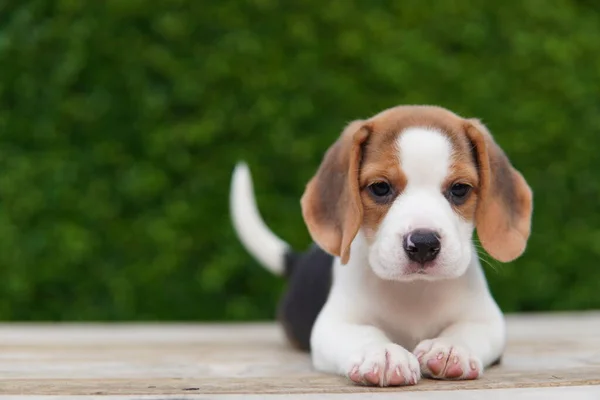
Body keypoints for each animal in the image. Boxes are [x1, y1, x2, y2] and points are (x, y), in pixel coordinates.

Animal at [230, 104, 536, 386]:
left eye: (460, 189)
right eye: (380, 188)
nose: (423, 243)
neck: (413, 291)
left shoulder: (487, 320)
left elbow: (468, 330)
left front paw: (449, 348)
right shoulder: (333, 324)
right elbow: (363, 333)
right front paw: (382, 353)